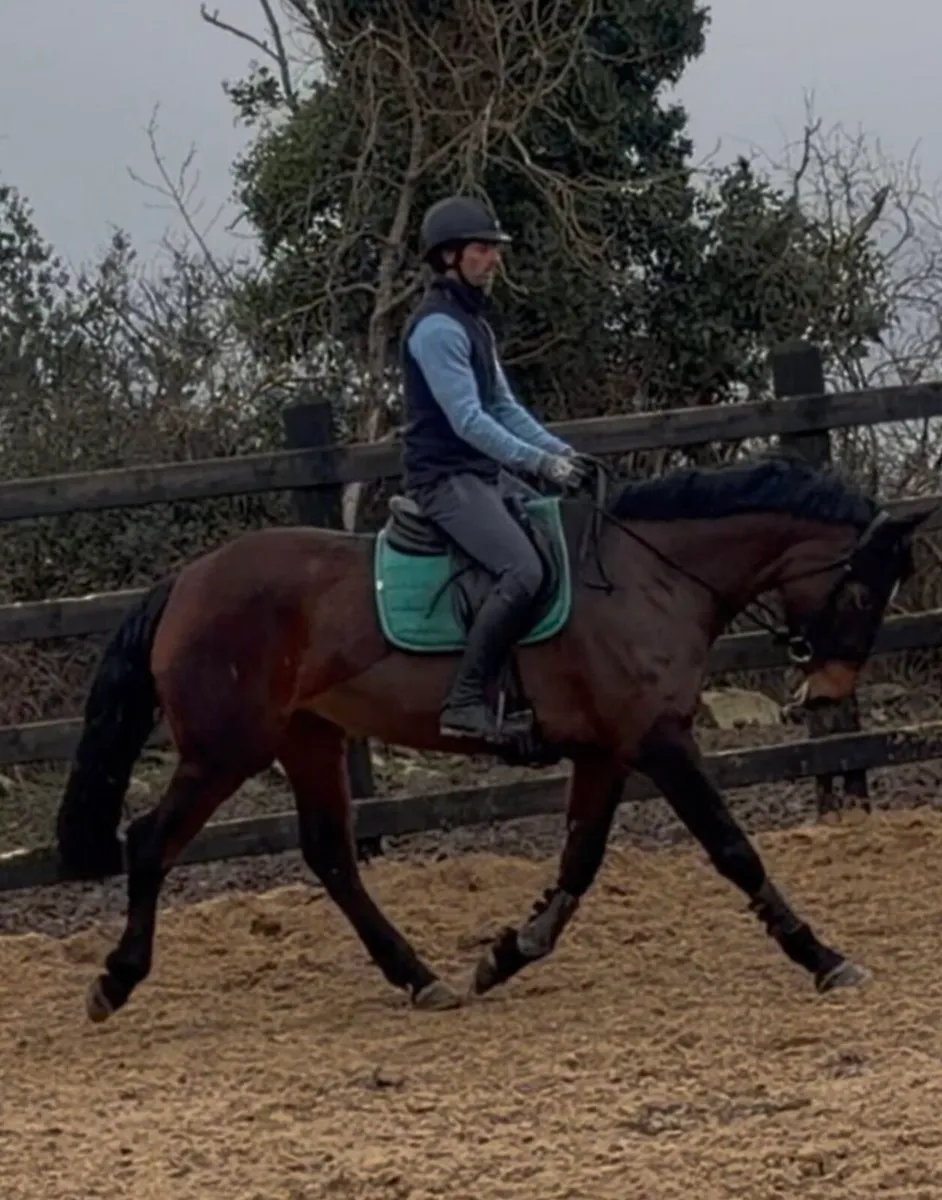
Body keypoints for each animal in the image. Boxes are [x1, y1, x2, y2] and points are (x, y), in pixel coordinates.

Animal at [53, 452, 929, 1023]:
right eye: (863, 592)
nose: (828, 692)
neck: (652, 575)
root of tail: (186, 581)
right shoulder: (658, 741)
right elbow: (733, 850)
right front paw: (823, 958)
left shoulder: (607, 751)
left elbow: (580, 861)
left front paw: (509, 951)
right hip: (224, 750)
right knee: (150, 842)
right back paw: (115, 982)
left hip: (308, 740)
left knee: (331, 855)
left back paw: (419, 978)